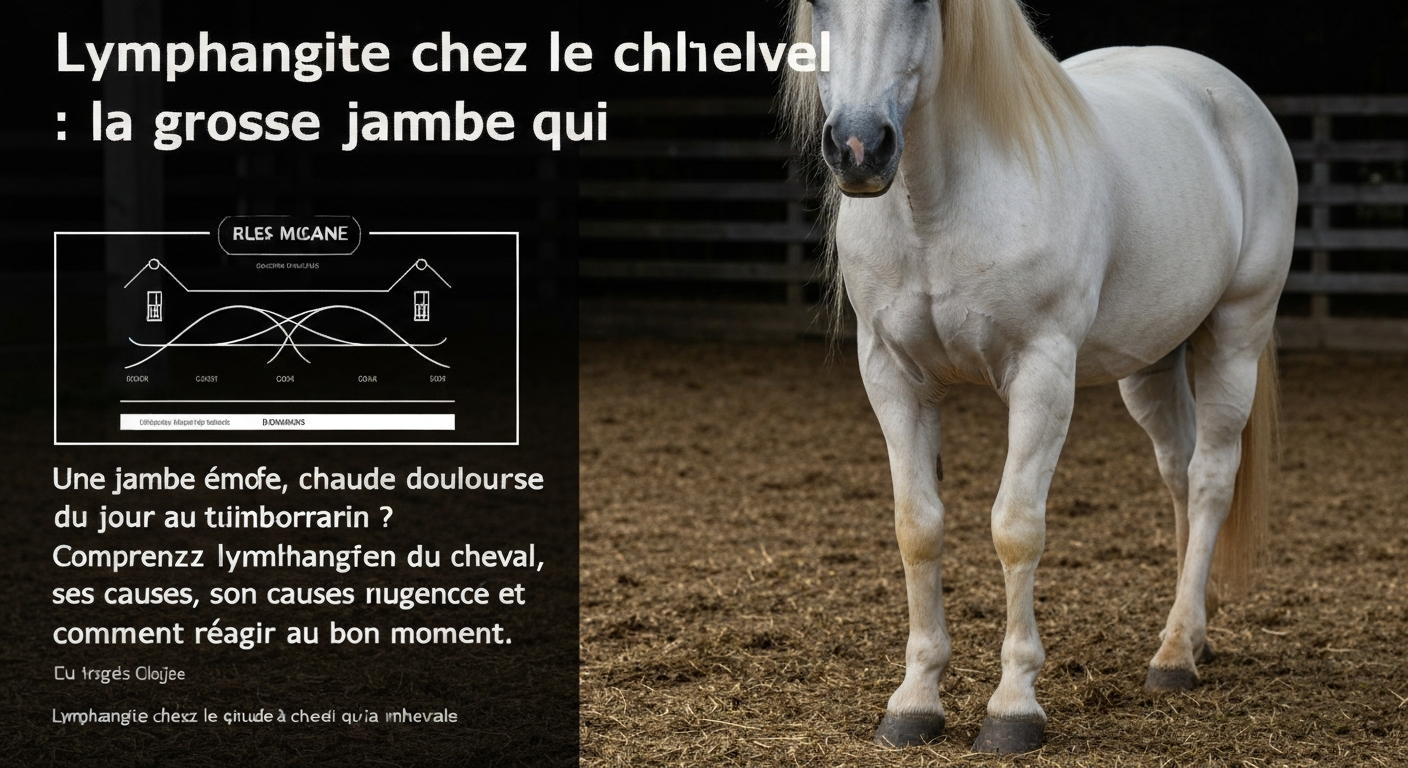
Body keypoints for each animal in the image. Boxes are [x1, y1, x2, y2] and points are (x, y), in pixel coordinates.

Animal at [784, 0, 1293, 754]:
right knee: (1178, 470)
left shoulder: (1041, 373)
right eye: (818, 7)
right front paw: (914, 701)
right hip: (1151, 363)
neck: (938, 206)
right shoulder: (892, 376)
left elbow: (1016, 528)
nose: (858, 149)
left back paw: (1174, 657)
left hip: (1235, 335)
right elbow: (918, 527)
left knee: (1209, 479)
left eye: (920, 6)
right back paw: (1190, 633)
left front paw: (1013, 707)